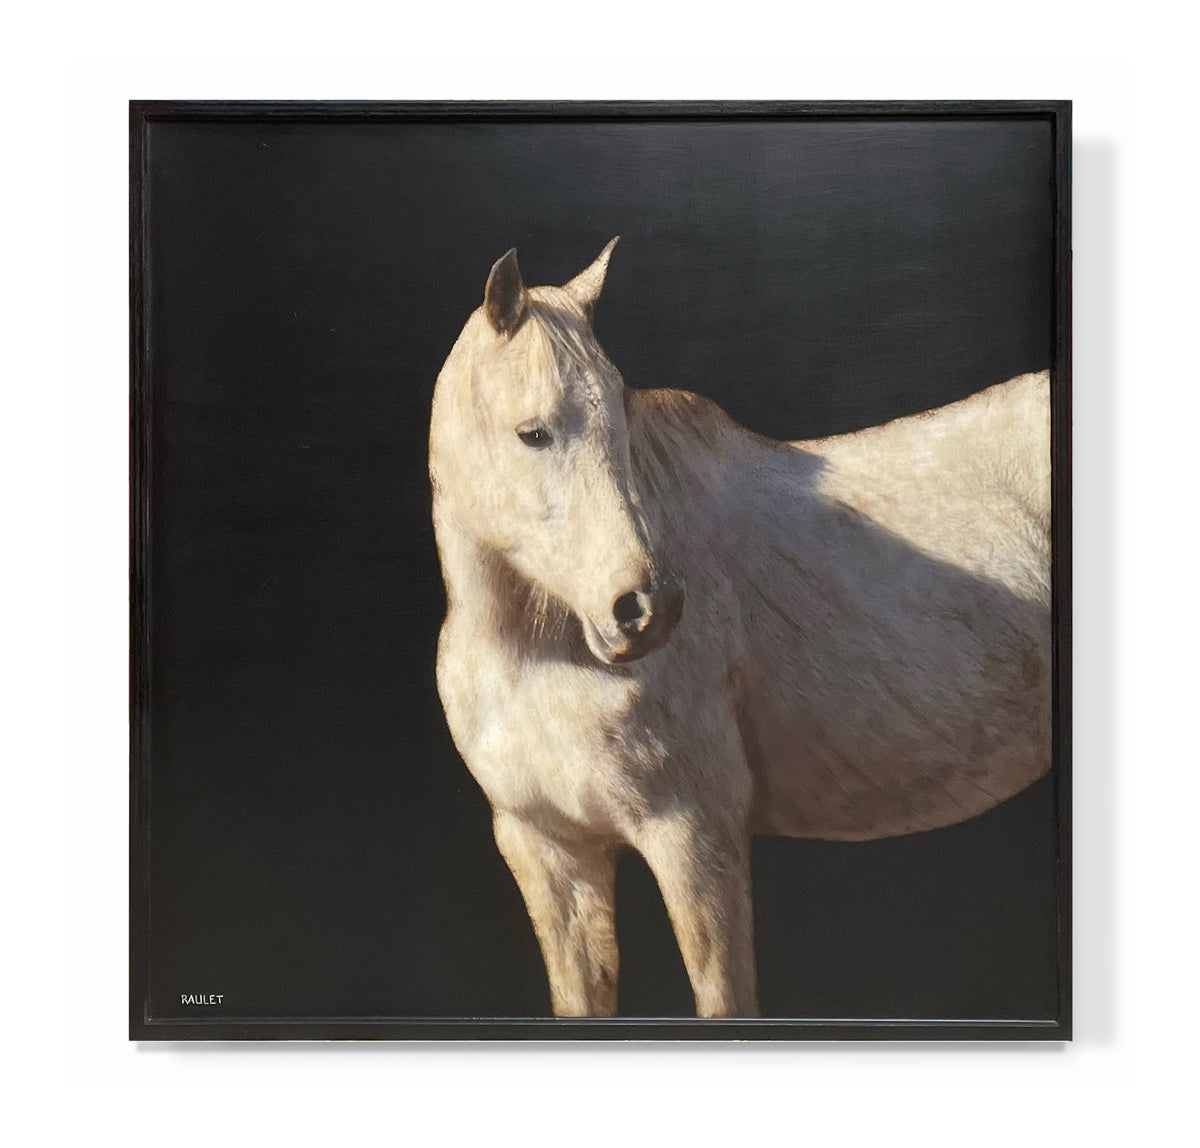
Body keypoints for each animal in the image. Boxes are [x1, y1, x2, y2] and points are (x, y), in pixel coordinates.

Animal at [428, 239, 1052, 1018]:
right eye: (532, 434)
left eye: (623, 430)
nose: (648, 607)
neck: (537, 657)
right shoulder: (548, 852)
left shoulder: (695, 834)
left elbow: (724, 998)